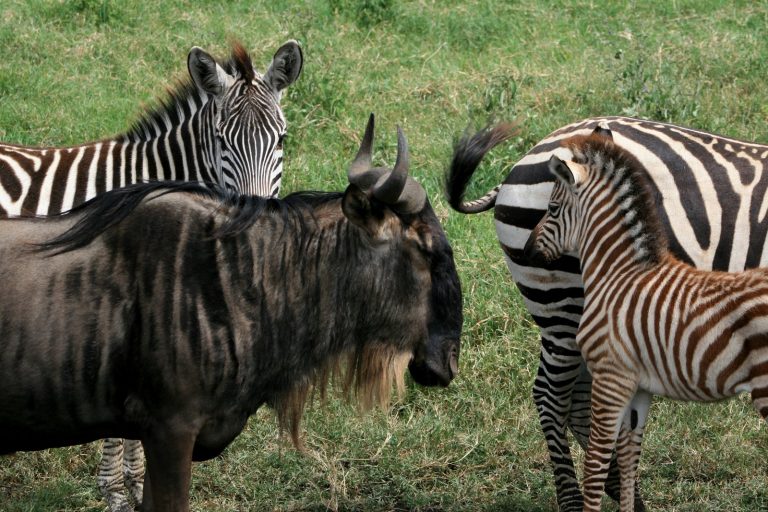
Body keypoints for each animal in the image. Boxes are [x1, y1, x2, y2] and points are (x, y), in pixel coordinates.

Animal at [446, 116, 768, 511]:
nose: (531, 250)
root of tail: (529, 154)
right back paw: (575, 499)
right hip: (564, 305)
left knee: (580, 403)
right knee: (552, 397)